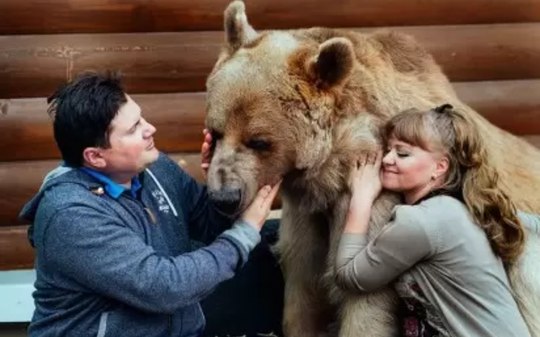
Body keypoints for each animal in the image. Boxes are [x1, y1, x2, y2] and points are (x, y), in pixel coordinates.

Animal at [204, 1, 540, 334]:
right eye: (215, 132)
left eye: (259, 141)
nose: (224, 197)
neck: (330, 169)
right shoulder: (306, 213)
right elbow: (303, 282)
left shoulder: (378, 200)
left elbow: (363, 295)